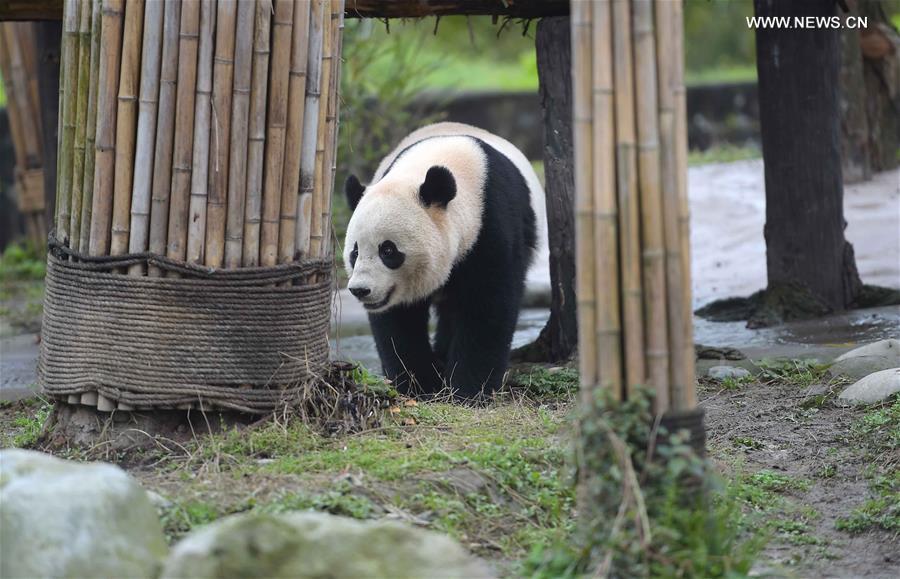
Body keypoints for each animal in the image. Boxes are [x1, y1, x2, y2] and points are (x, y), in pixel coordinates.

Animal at [342, 123, 544, 398]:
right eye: (355, 252)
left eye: (388, 251)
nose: (360, 290)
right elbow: (398, 321)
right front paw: (418, 385)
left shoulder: (491, 223)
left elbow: (488, 305)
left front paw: (468, 391)